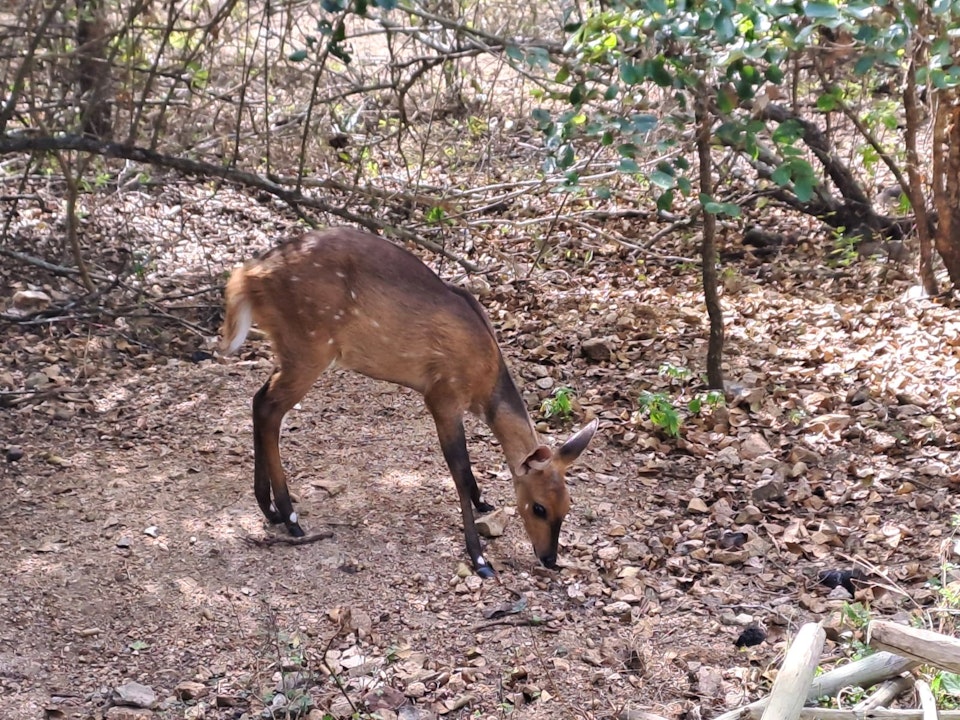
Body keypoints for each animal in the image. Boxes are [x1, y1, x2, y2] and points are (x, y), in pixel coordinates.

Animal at [223, 229, 600, 580]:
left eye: (567, 506)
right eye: (538, 508)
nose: (549, 559)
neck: (485, 381)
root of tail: (247, 275)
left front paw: (483, 503)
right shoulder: (442, 396)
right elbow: (461, 471)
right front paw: (480, 560)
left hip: (290, 350)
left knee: (259, 400)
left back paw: (269, 508)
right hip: (309, 347)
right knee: (270, 408)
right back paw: (290, 517)